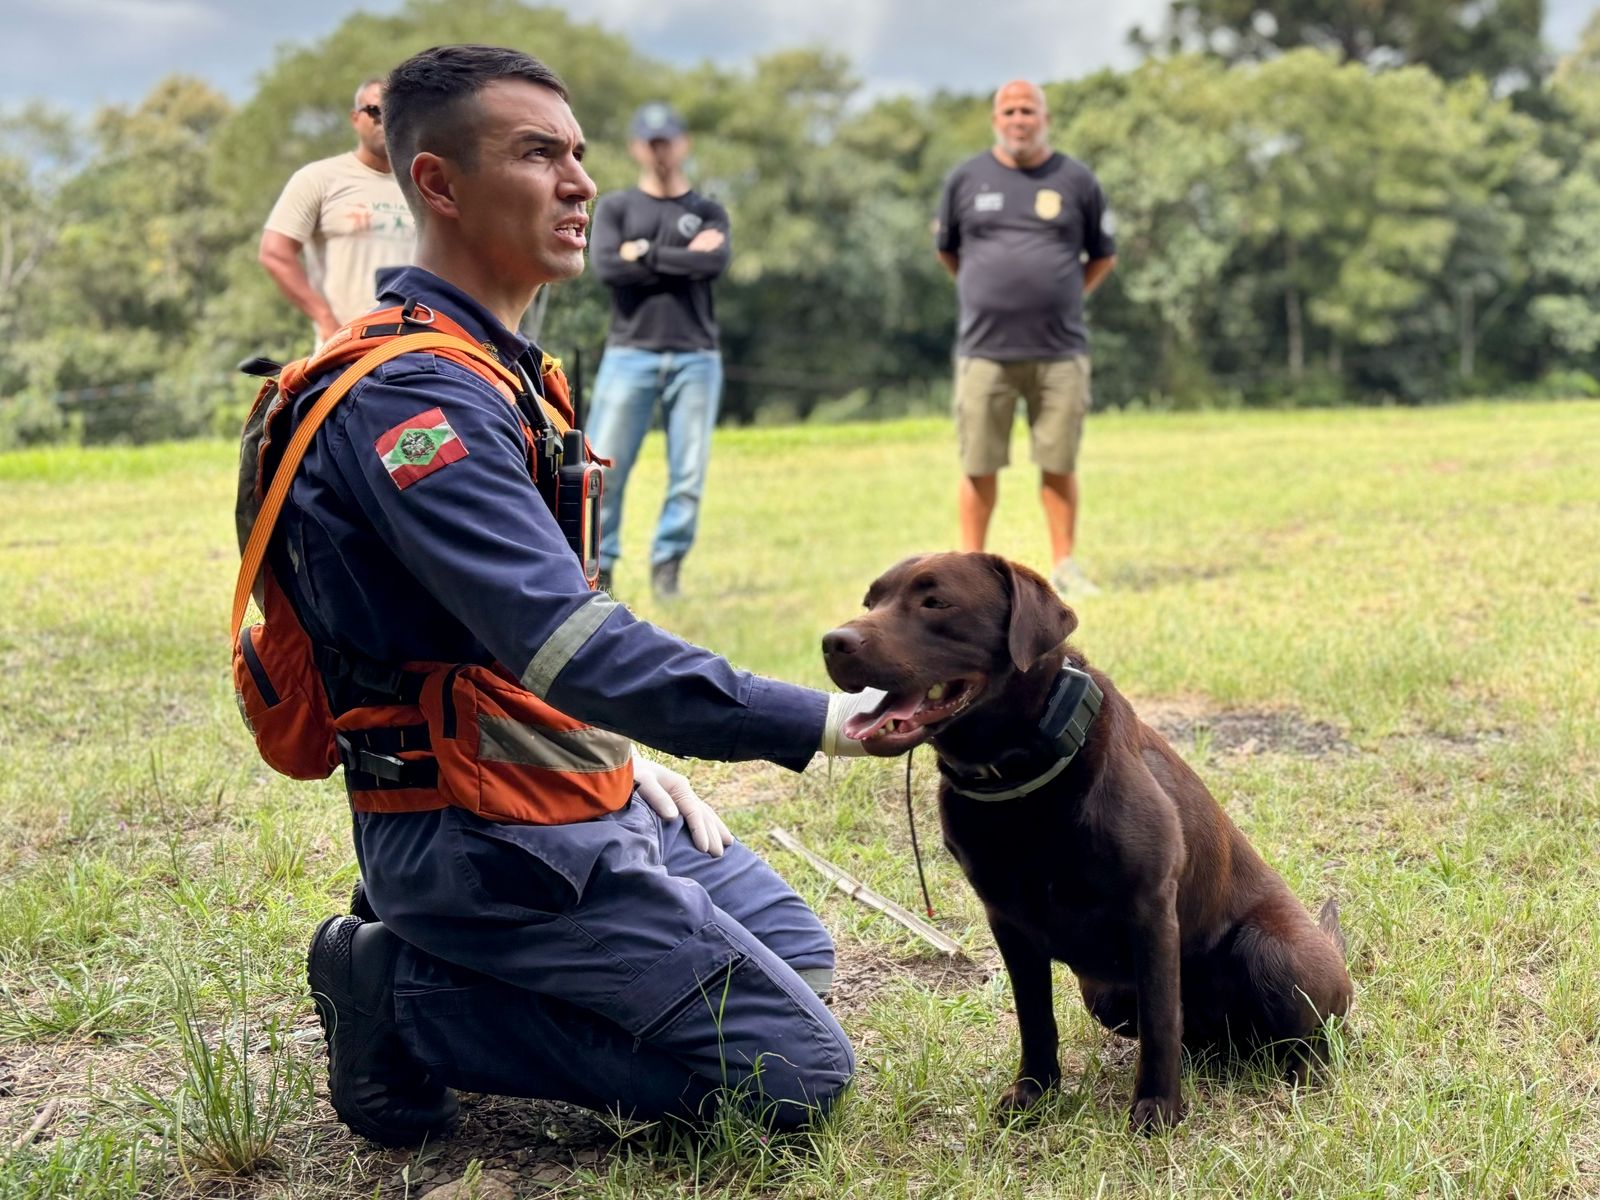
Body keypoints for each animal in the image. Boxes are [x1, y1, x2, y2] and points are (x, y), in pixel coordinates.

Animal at [825, 553, 1350, 1139]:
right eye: (871, 601)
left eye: (936, 602)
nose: (833, 641)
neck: (1020, 777)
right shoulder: (1007, 923)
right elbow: (1035, 1017)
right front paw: (1035, 1092)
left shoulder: (1150, 912)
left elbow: (1161, 1020)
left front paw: (1158, 1108)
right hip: (1105, 993)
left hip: (1274, 954)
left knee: (1308, 1034)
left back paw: (1300, 1073)